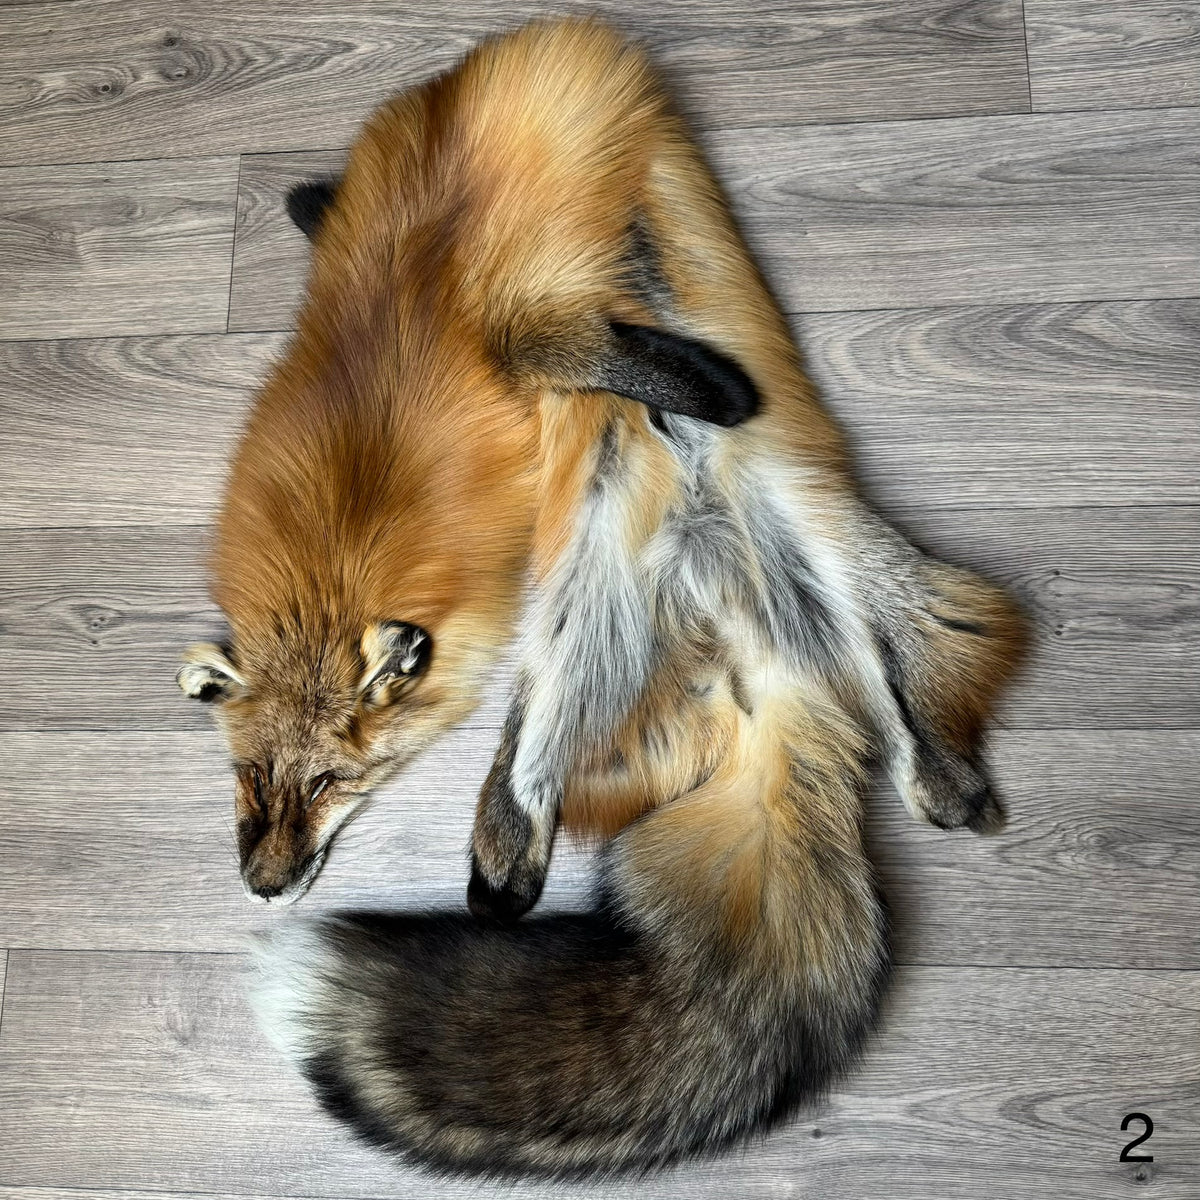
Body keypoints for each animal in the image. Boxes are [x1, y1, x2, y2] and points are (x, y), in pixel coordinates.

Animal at [179, 19, 1026, 1179]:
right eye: (252, 779)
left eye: (331, 783)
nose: (262, 886)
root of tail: (765, 689)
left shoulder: (521, 265)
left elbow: (548, 332)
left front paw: (711, 387)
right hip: (577, 622)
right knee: (539, 777)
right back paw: (502, 869)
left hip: (838, 572)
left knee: (916, 723)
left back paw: (942, 773)